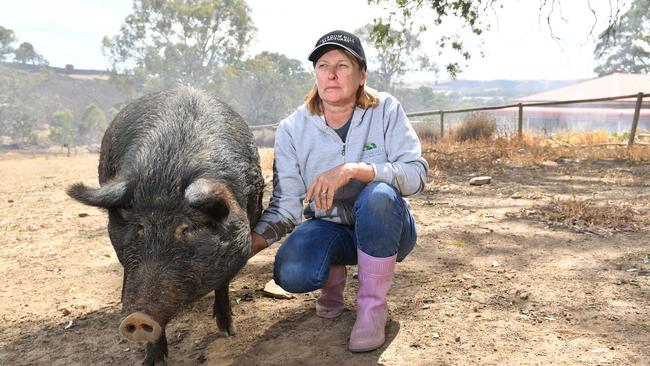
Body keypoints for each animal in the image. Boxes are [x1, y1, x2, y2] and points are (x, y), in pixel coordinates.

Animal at [67, 87, 264, 364]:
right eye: (139, 228)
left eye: (186, 229)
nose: (137, 318)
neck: (169, 171)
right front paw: (153, 361)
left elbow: (223, 282)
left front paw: (229, 331)